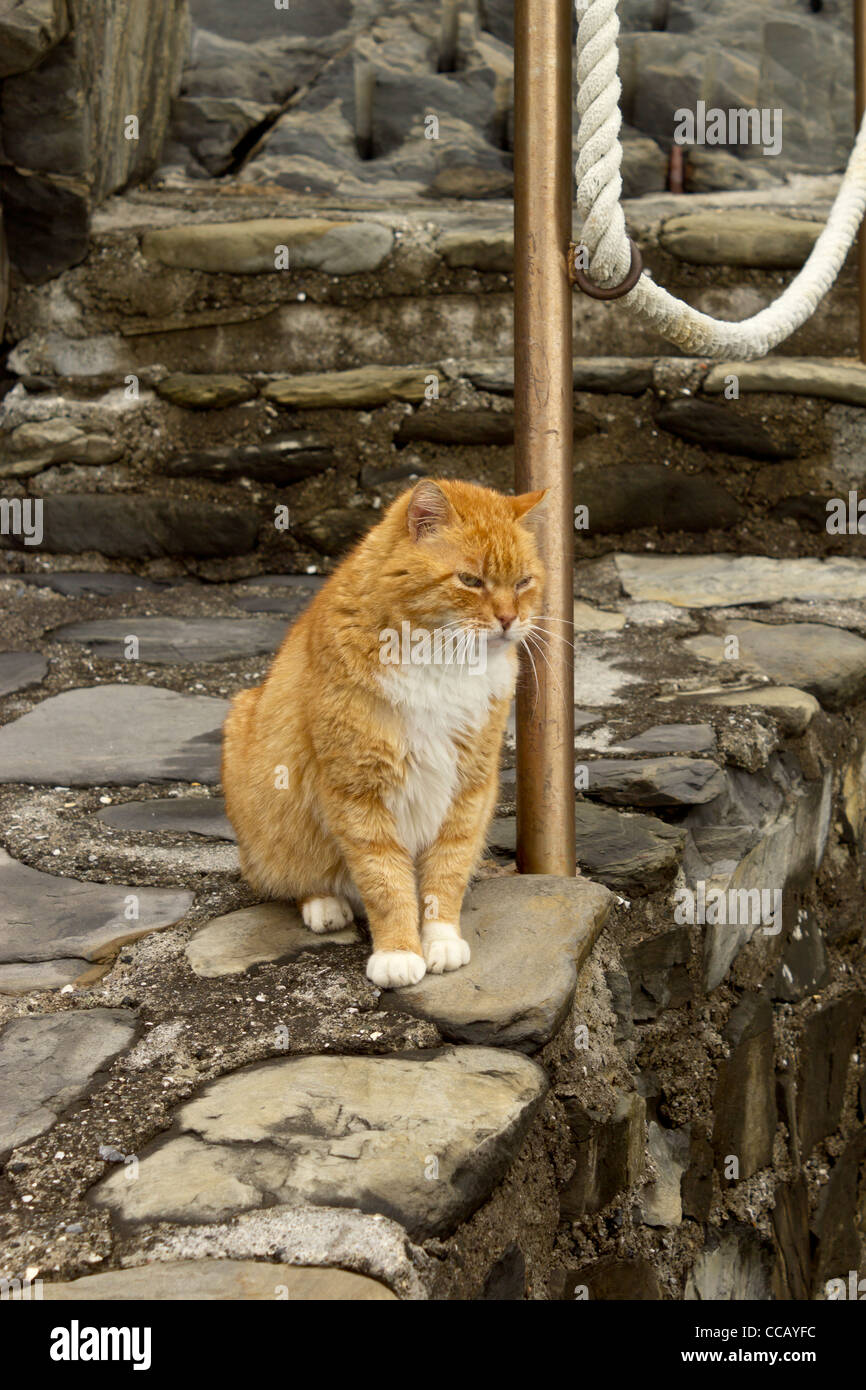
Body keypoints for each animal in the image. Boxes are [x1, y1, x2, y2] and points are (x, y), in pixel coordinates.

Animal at [223, 478, 547, 989]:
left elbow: (447, 868)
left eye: (522, 582)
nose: (509, 619)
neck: (443, 660)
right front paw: (398, 951)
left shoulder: (469, 783)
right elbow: (385, 878)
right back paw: (324, 904)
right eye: (470, 580)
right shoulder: (357, 789)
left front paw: (441, 939)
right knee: (287, 875)